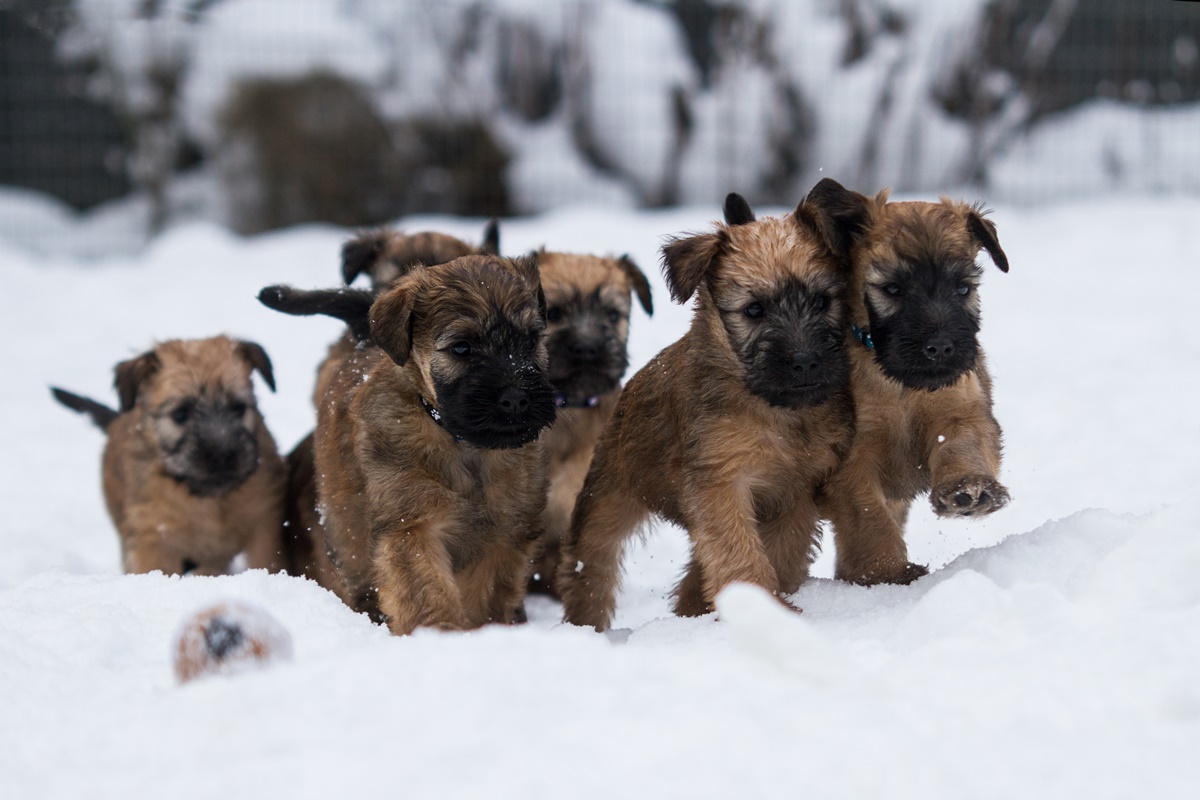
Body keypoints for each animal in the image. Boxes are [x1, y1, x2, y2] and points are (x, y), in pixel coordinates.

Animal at [52, 335, 286, 575]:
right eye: (180, 414)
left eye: (238, 408)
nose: (222, 456)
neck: (211, 502)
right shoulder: (153, 536)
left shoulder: (263, 523)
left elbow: (267, 562)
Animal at [556, 181, 878, 633]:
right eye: (754, 310)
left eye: (821, 301)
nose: (805, 361)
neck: (777, 413)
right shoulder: (721, 485)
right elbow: (739, 552)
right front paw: (764, 612)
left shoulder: (795, 495)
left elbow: (777, 552)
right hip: (607, 498)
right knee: (592, 567)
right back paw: (585, 627)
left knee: (692, 578)